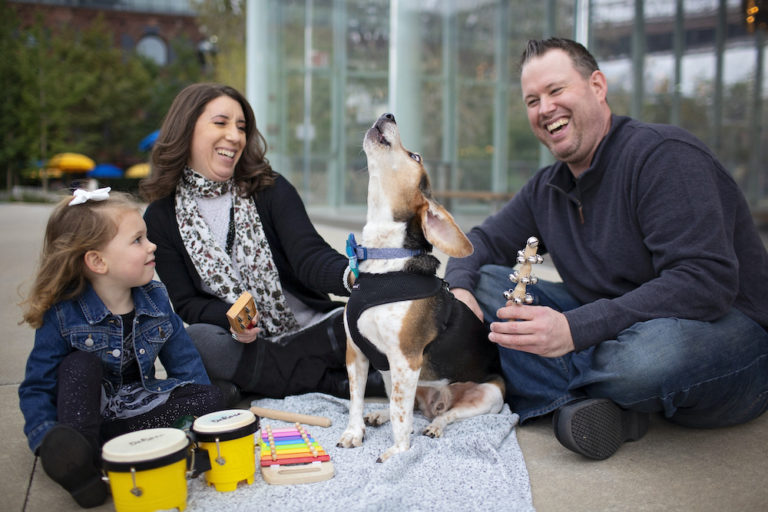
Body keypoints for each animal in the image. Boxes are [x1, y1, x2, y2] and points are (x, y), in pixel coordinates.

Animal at [340, 113, 508, 464]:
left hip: (490, 394)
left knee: (445, 414)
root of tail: (436, 401)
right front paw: (353, 433)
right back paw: (381, 414)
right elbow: (356, 400)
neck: (385, 261)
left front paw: (399, 453)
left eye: (415, 156)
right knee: (410, 407)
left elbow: (401, 417)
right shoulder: (356, 353)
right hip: (392, 377)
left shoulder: (405, 360)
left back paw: (436, 425)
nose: (388, 114)